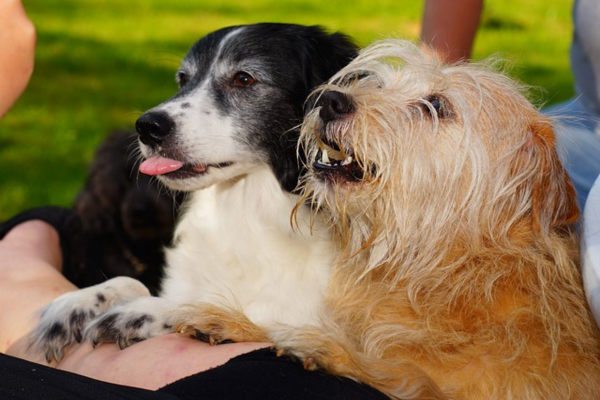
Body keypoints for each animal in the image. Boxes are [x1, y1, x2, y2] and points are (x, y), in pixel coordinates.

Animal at [29, 25, 356, 362]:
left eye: (244, 79)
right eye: (183, 79)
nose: (147, 127)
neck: (244, 210)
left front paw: (146, 312)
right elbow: (131, 281)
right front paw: (78, 303)